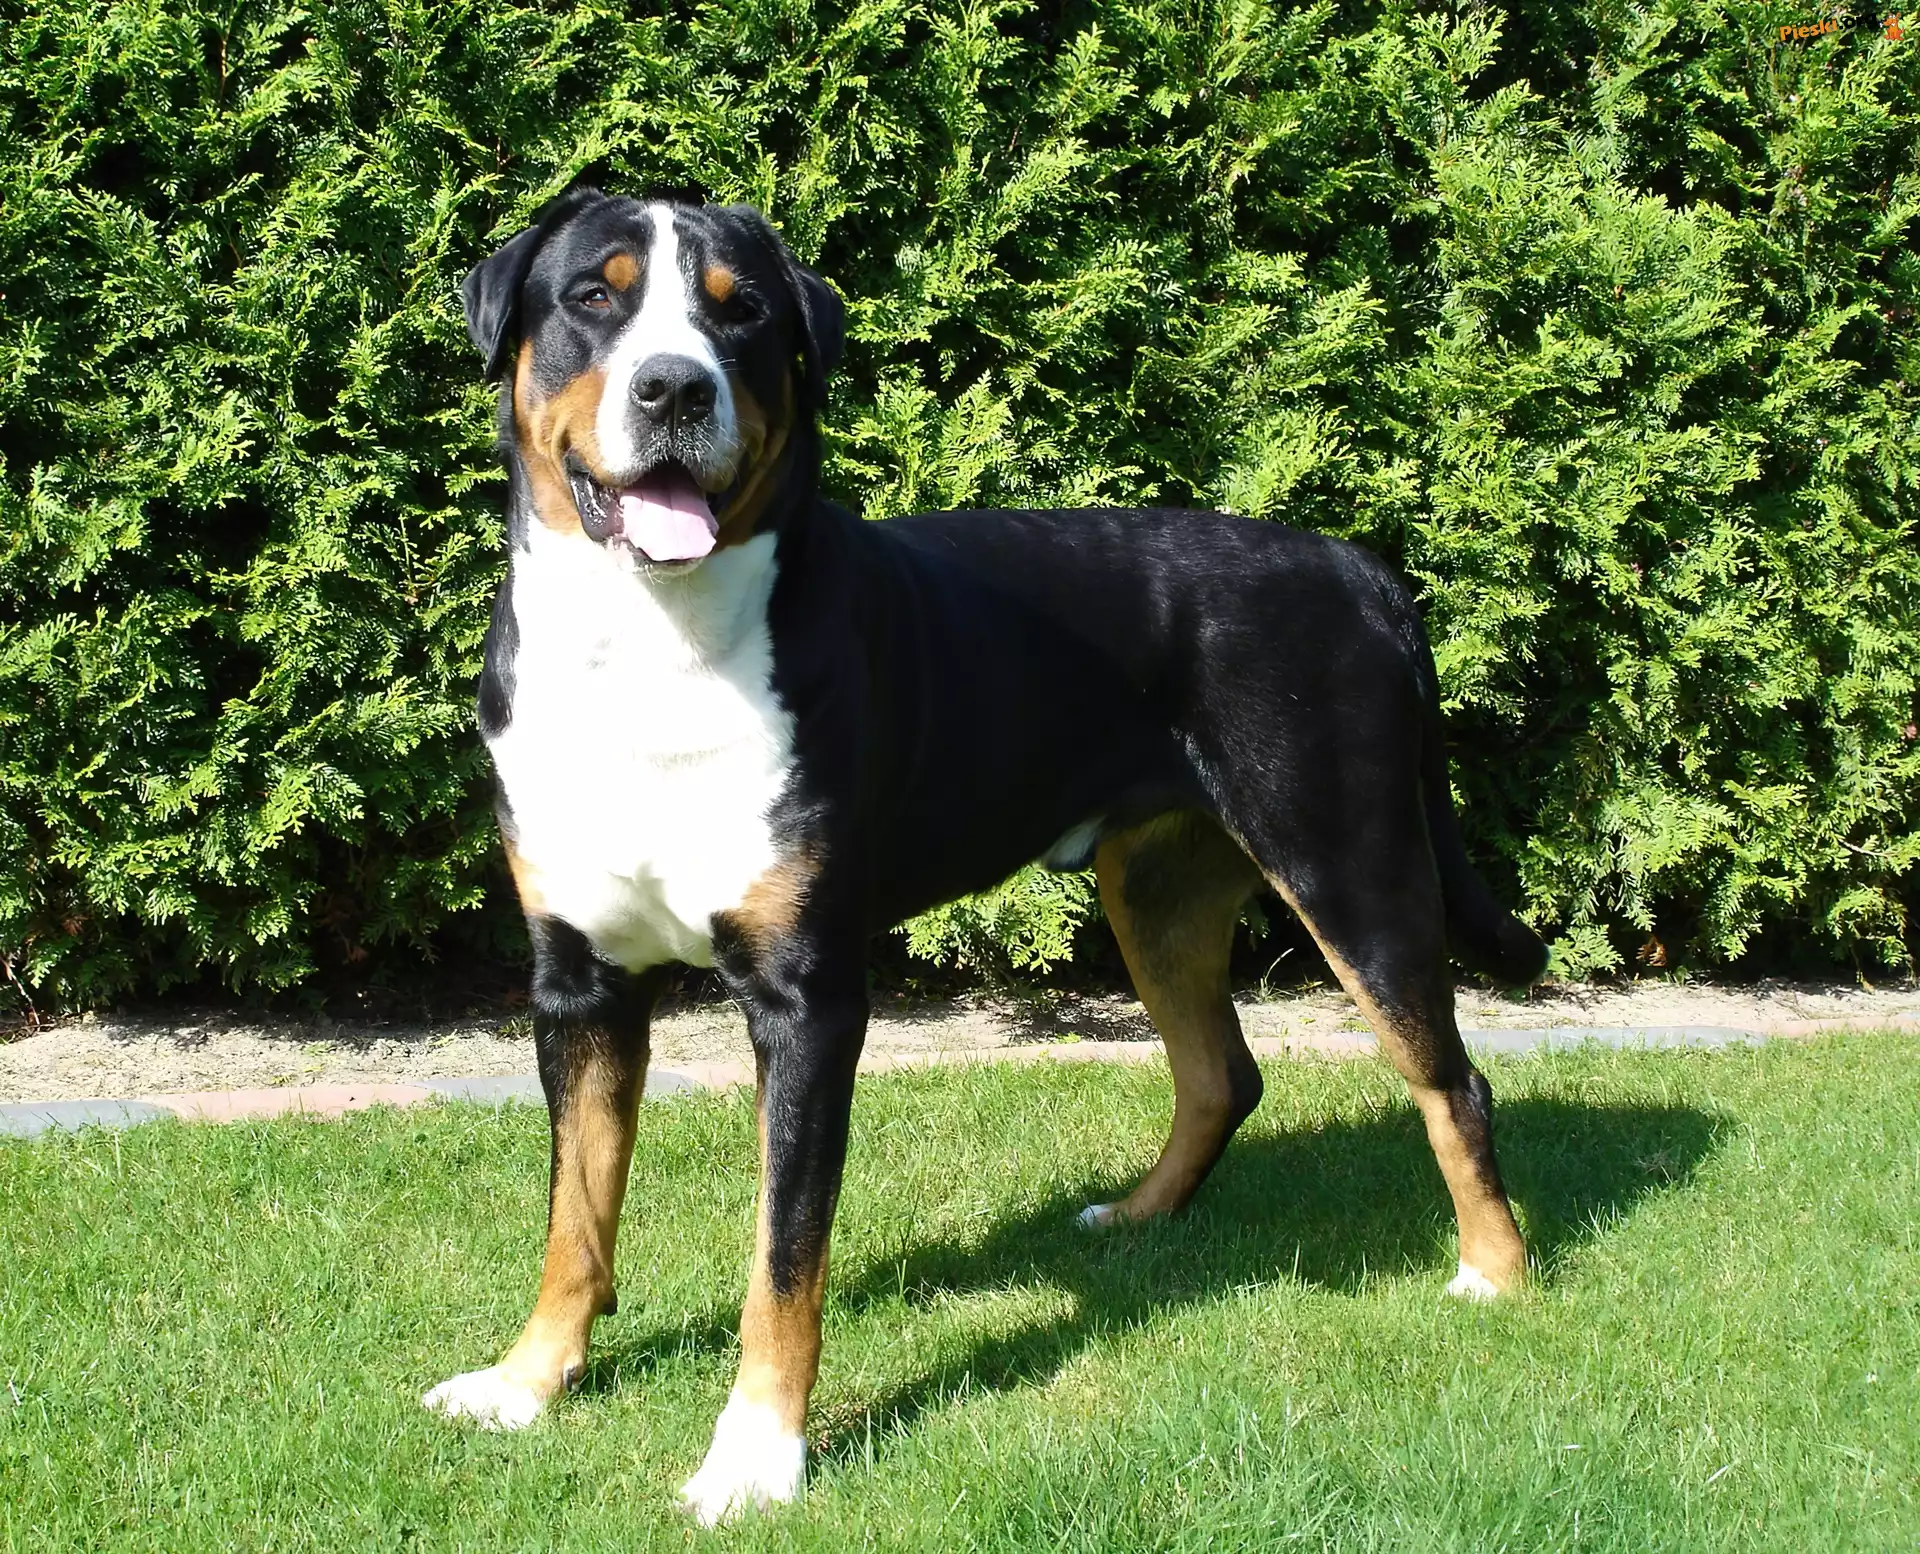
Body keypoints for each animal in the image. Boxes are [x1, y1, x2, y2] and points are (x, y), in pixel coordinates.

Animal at [422, 188, 1547, 1524]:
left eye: (738, 313)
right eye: (595, 296)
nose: (674, 387)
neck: (646, 649)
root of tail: (1358, 565)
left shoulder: (807, 999)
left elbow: (782, 1256)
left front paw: (755, 1455)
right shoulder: (578, 983)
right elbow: (575, 1213)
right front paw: (526, 1382)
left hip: (1351, 870)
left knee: (1452, 1082)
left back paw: (1495, 1273)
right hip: (1156, 889)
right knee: (1221, 1074)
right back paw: (1139, 1217)